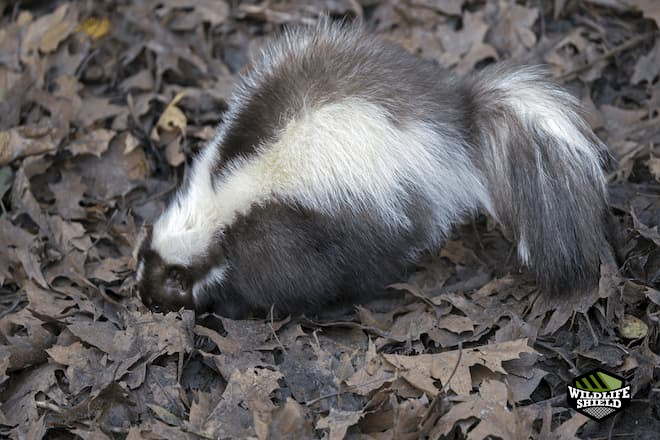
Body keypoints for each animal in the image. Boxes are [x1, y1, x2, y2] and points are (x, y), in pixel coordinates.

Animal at [134, 20, 608, 318]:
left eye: (166, 288)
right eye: (141, 265)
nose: (142, 299)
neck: (216, 202)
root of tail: (453, 120)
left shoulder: (280, 234)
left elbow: (288, 281)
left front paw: (235, 305)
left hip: (387, 204)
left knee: (381, 258)